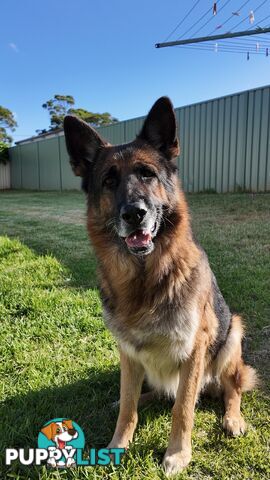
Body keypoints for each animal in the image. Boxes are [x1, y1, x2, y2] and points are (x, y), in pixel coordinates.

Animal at [63, 98, 258, 476]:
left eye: (147, 174)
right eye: (109, 180)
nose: (134, 214)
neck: (145, 279)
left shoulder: (195, 348)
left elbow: (182, 408)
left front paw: (178, 454)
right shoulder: (127, 351)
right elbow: (129, 406)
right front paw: (117, 444)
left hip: (233, 336)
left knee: (231, 388)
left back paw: (232, 418)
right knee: (150, 391)